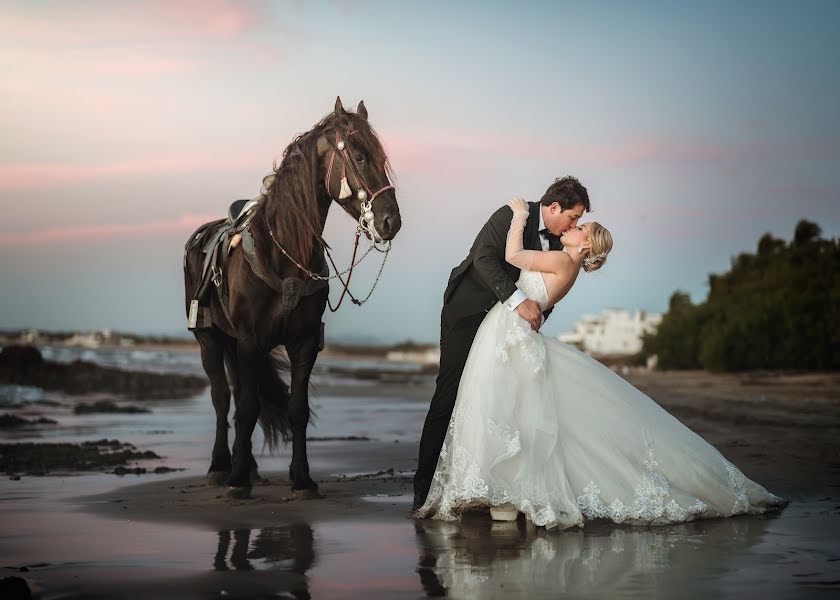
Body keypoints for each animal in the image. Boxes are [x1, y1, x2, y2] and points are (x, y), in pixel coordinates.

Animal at [183, 98, 404, 496]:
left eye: (382, 158)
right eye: (360, 156)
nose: (390, 221)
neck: (283, 250)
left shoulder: (304, 341)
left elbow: (297, 409)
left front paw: (301, 478)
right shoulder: (250, 341)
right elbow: (247, 408)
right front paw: (237, 481)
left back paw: (249, 466)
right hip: (210, 338)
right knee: (222, 398)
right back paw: (221, 466)